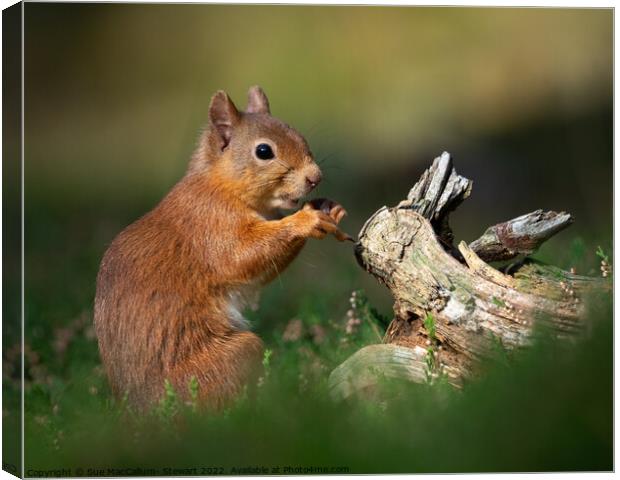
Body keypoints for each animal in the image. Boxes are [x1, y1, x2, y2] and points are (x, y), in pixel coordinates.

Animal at [95, 86, 352, 408]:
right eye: (264, 151)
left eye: (298, 133)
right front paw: (306, 220)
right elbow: (240, 258)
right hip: (228, 361)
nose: (315, 178)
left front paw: (329, 207)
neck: (221, 186)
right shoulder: (212, 225)